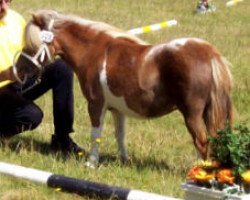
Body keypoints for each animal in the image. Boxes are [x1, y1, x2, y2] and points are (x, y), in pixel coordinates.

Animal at [20, 10, 233, 168]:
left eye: (31, 44)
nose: (20, 71)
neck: (94, 52)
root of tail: (209, 54)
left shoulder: (96, 105)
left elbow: (96, 134)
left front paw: (91, 163)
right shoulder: (117, 109)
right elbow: (120, 135)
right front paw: (124, 160)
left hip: (192, 114)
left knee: (201, 142)